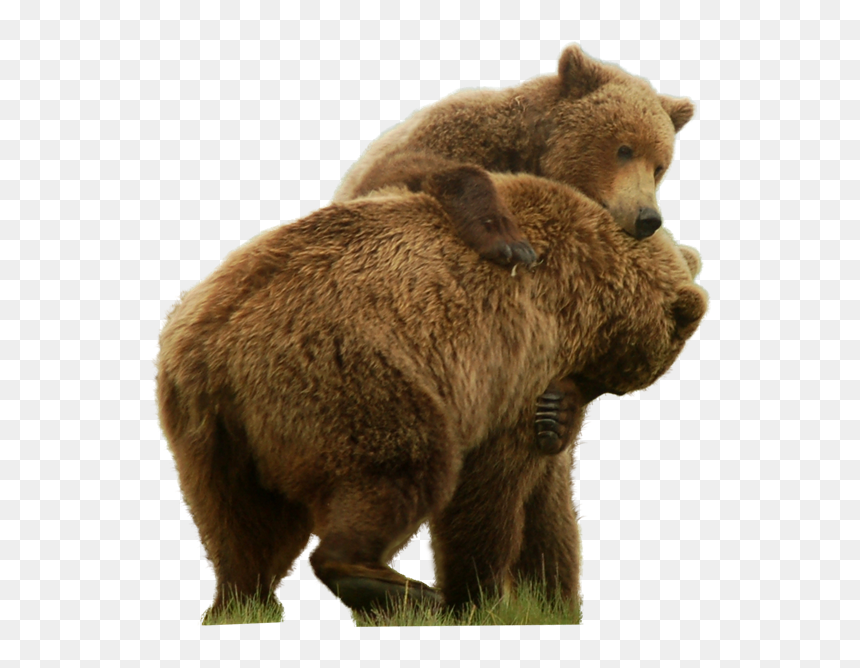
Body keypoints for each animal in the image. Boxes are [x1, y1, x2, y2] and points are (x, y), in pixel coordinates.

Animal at [156, 172, 707, 619]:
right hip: (347, 374)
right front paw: (480, 597)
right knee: (404, 466)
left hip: (210, 431)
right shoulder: (513, 360)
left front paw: (553, 598)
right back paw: (394, 587)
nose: (561, 409)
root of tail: (214, 341)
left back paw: (242, 603)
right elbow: (488, 490)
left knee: (241, 525)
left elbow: (548, 502)